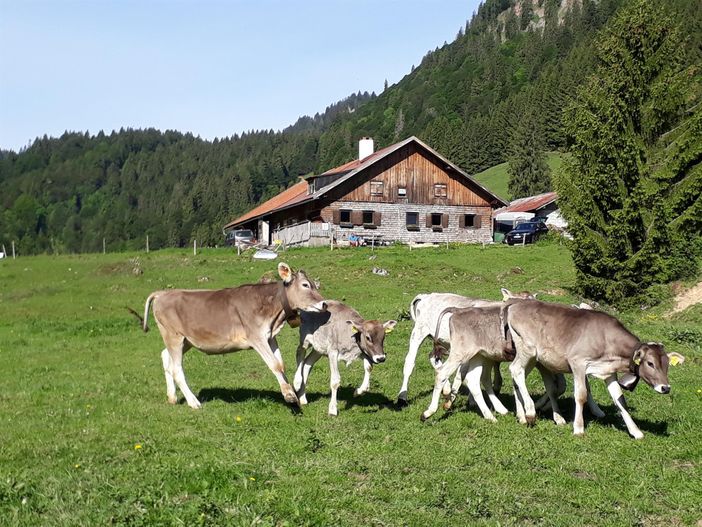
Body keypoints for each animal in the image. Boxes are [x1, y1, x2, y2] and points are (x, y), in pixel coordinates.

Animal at [133, 262, 328, 408]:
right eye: (305, 285)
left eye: (314, 284)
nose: (324, 304)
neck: (273, 313)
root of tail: (163, 293)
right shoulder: (256, 337)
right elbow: (274, 365)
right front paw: (289, 395)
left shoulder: (270, 337)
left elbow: (281, 364)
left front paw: (288, 391)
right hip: (173, 335)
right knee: (176, 369)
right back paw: (193, 402)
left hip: (185, 340)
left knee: (165, 357)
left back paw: (172, 397)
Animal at [396, 290, 532, 406]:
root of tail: (426, 295)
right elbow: (462, 374)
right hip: (418, 332)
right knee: (410, 362)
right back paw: (402, 397)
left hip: (441, 341)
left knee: (433, 357)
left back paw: (446, 388)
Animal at [508, 300, 684, 440]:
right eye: (650, 363)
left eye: (667, 364)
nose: (665, 388)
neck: (606, 338)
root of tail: (515, 305)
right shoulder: (578, 362)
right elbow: (581, 396)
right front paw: (579, 428)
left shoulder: (609, 372)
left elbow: (620, 400)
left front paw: (635, 431)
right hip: (527, 349)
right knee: (515, 370)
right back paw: (530, 412)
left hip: (534, 359)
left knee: (517, 378)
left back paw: (522, 415)